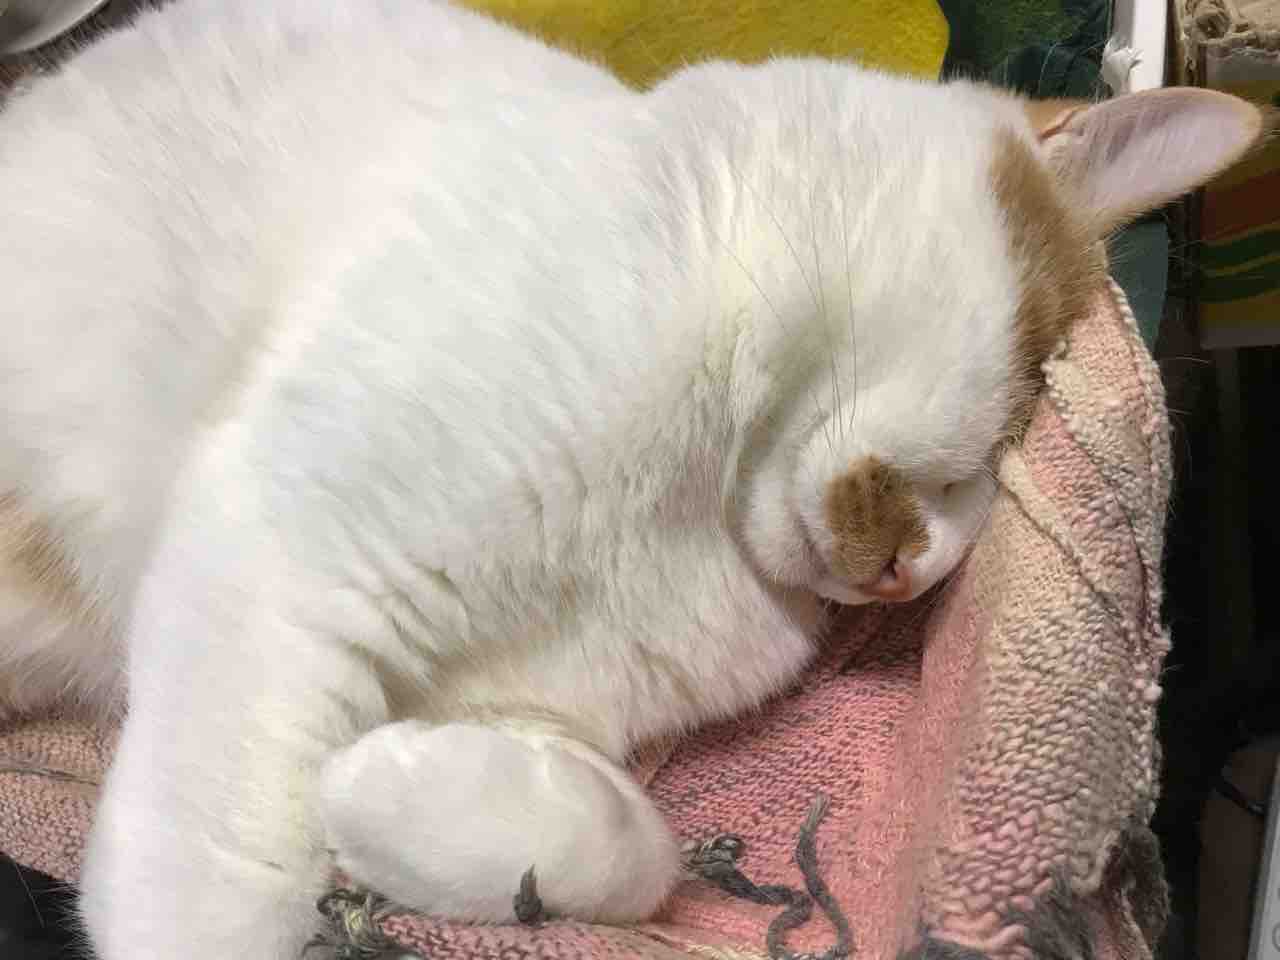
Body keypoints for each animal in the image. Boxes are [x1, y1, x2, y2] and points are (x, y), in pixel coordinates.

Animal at [0, 0, 1266, 957]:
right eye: (1012, 403)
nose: (910, 574)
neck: (687, 516)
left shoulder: (513, 700)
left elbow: (633, 849)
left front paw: (376, 799)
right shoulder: (288, 550)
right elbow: (228, 880)